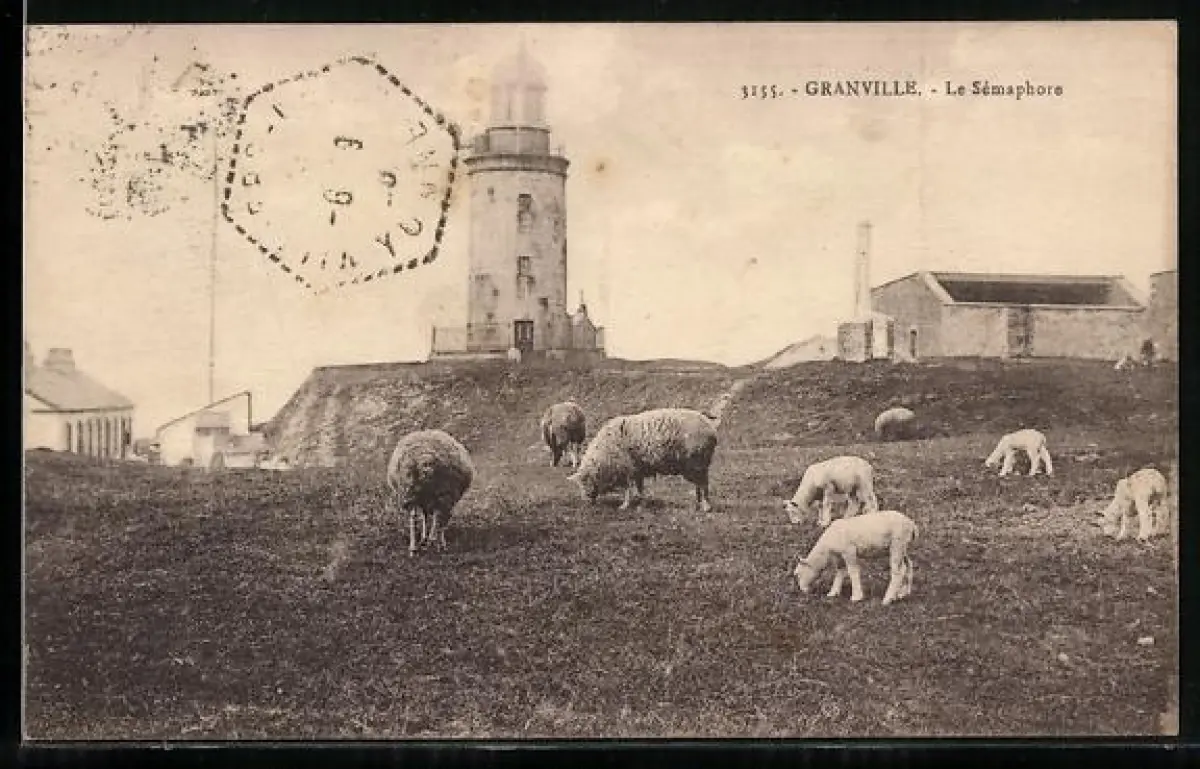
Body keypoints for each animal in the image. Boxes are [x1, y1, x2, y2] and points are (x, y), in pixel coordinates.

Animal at [566, 407, 719, 512]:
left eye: (585, 482)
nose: (586, 503)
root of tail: (710, 427)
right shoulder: (637, 469)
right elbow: (639, 488)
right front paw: (641, 503)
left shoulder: (626, 468)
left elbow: (627, 489)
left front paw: (625, 505)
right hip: (696, 466)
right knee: (699, 485)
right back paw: (697, 505)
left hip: (697, 463)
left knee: (704, 485)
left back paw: (706, 507)